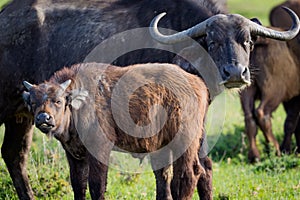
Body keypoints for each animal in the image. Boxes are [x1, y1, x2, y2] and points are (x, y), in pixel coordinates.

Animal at [22, 62, 211, 200]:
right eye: (32, 102)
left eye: (58, 101)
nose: (43, 118)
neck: (79, 105)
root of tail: (197, 83)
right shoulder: (74, 154)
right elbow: (78, 185)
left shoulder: (99, 150)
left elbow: (97, 185)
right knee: (176, 175)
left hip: (184, 144)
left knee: (189, 174)